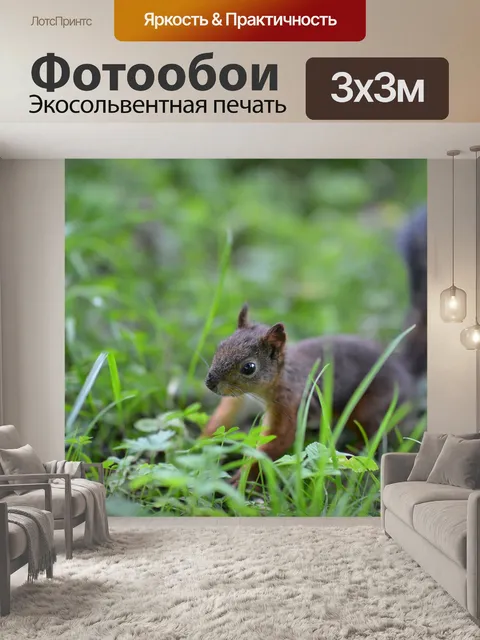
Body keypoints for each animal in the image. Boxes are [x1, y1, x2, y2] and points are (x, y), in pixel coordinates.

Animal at [203, 303, 416, 482]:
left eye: (249, 368)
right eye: (220, 346)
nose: (210, 383)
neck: (262, 391)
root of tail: (406, 370)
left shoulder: (288, 404)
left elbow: (276, 441)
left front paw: (241, 479)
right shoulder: (241, 399)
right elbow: (224, 417)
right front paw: (201, 444)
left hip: (370, 408)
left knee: (374, 434)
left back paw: (352, 452)